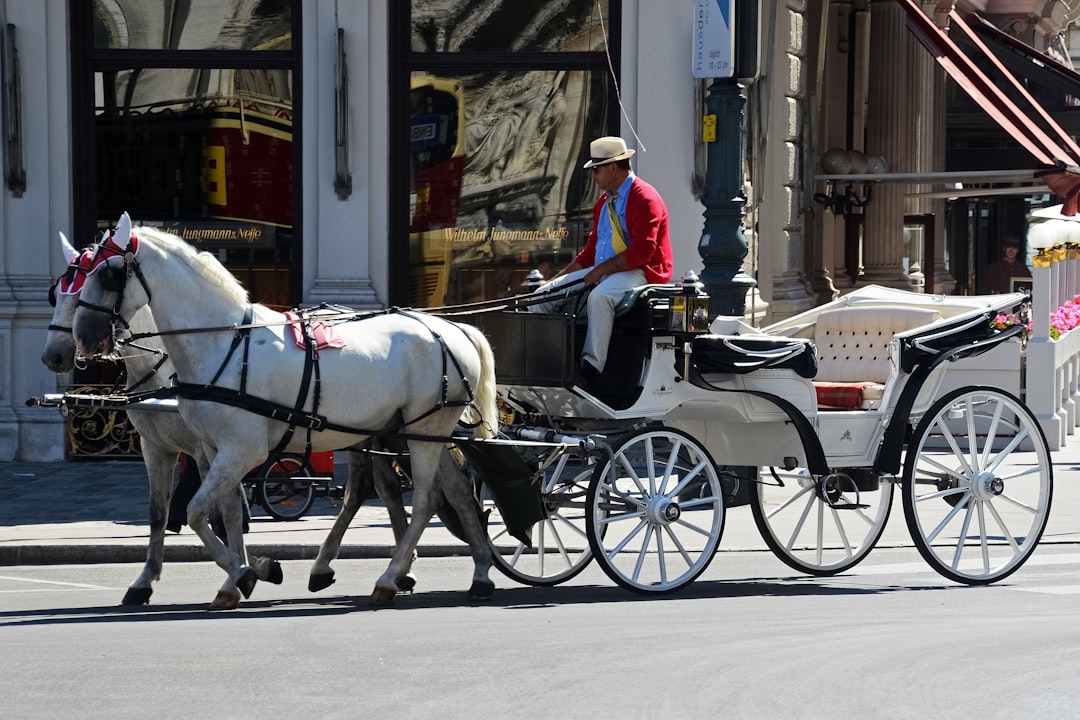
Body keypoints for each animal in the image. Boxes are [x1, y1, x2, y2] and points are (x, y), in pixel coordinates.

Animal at [42, 234, 282, 613]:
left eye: (82, 294)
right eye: (56, 294)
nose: (53, 356)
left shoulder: (207, 448)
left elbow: (222, 514)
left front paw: (247, 569)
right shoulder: (155, 447)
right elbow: (159, 512)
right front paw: (145, 580)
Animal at [69, 212, 498, 604]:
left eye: (108, 274)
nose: (83, 338)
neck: (223, 342)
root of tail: (452, 328)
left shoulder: (243, 450)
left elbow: (195, 512)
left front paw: (244, 572)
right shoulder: (213, 449)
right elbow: (225, 513)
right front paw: (240, 576)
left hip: (424, 430)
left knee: (425, 499)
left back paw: (390, 577)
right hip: (417, 428)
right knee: (455, 491)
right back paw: (479, 571)